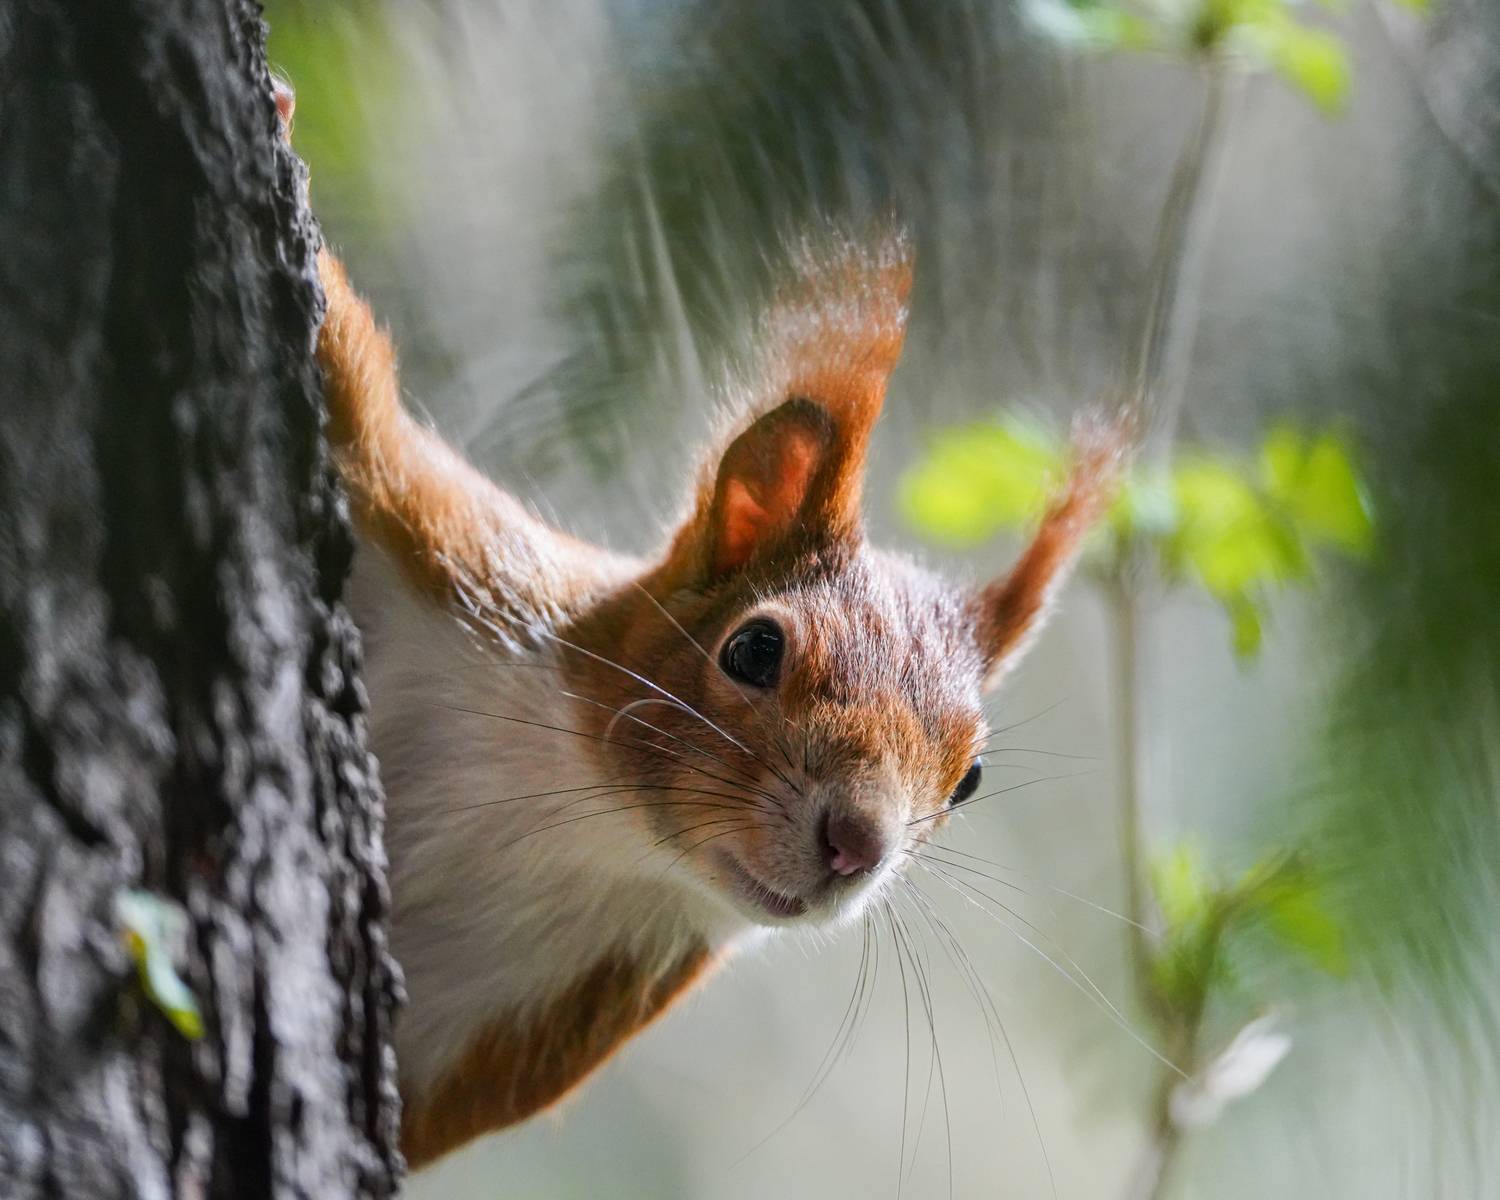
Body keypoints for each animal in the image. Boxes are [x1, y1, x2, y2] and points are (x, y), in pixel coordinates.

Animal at [275, 80, 1121, 1169]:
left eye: (969, 778)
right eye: (754, 647)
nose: (857, 843)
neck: (583, 812)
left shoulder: (511, 1029)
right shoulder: (444, 539)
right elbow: (351, 381)